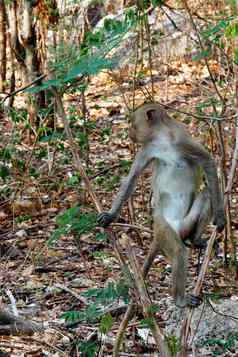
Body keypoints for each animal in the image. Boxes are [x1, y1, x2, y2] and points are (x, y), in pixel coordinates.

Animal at [97, 102, 225, 306]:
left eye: (133, 123)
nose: (129, 132)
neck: (162, 138)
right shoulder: (148, 148)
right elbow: (132, 178)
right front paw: (110, 215)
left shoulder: (181, 139)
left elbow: (207, 162)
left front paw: (220, 216)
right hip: (162, 226)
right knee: (177, 249)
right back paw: (179, 298)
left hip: (185, 222)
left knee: (206, 194)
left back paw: (194, 239)